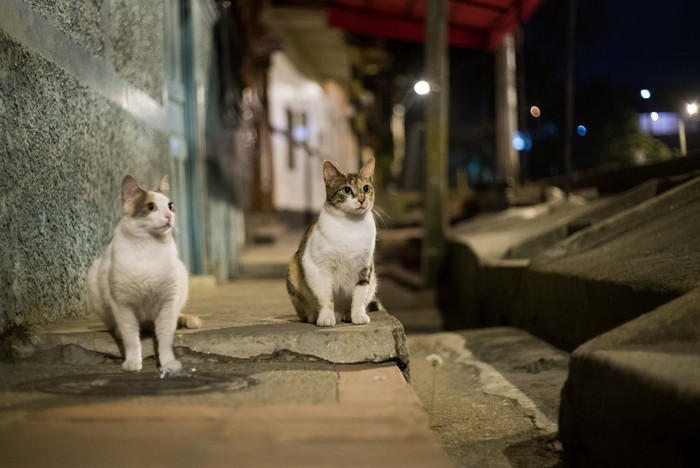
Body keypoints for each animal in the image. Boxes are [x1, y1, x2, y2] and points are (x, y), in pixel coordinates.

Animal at [88, 174, 197, 372]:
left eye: (170, 206)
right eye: (150, 207)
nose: (169, 215)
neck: (149, 247)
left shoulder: (168, 302)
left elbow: (165, 338)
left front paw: (168, 363)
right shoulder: (122, 304)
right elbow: (131, 338)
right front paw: (132, 362)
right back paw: (118, 330)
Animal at [288, 157, 380, 326]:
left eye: (366, 188)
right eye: (347, 190)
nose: (362, 199)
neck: (351, 226)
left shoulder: (365, 267)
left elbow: (359, 295)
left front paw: (358, 315)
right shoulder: (318, 267)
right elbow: (325, 296)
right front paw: (325, 317)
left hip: (374, 281)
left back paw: (347, 314)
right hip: (293, 271)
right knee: (304, 309)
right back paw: (313, 314)